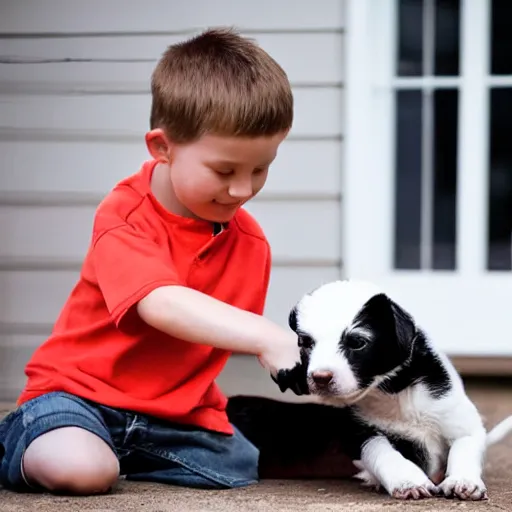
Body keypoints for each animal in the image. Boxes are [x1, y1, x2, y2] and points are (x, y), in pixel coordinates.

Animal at [227, 280, 512, 500]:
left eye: (357, 343)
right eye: (305, 343)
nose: (320, 378)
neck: (394, 393)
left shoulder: (461, 421)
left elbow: (464, 450)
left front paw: (463, 482)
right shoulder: (362, 433)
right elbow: (385, 453)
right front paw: (408, 481)